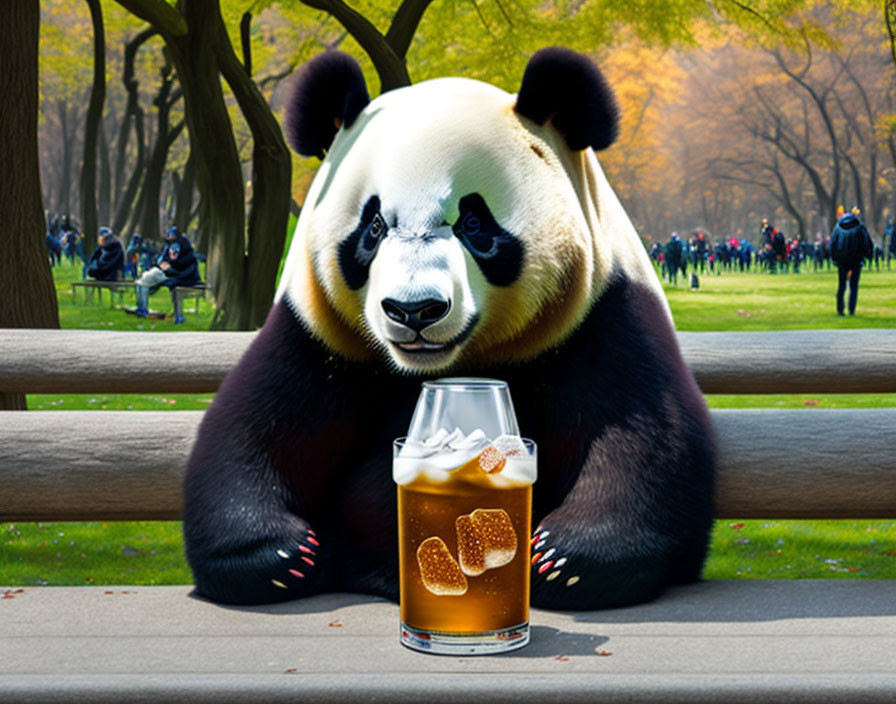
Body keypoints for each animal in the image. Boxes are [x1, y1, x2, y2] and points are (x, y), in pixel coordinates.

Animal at [186, 48, 716, 612]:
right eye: (374, 226)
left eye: (474, 224)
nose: (413, 310)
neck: (450, 367)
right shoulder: (318, 336)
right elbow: (251, 429)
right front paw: (280, 557)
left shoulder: (602, 314)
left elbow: (643, 435)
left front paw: (565, 560)